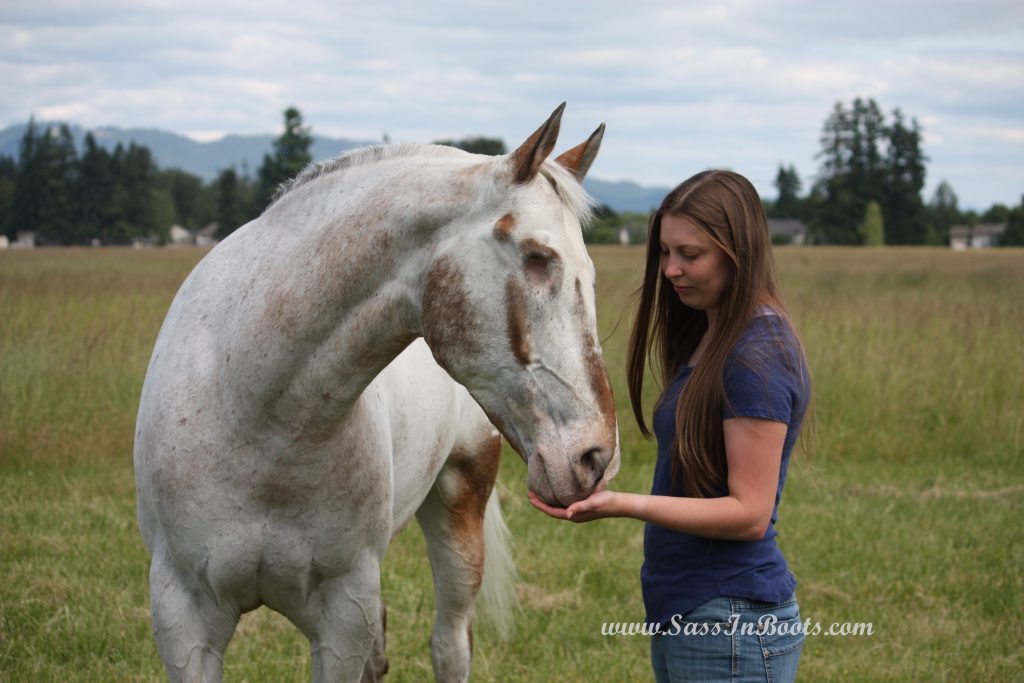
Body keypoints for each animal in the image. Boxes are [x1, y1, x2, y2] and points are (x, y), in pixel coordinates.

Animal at [132, 102, 618, 683]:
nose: (596, 458)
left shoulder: (342, 617)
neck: (261, 417)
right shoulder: (184, 618)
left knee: (450, 643)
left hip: (459, 507)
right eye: (538, 256)